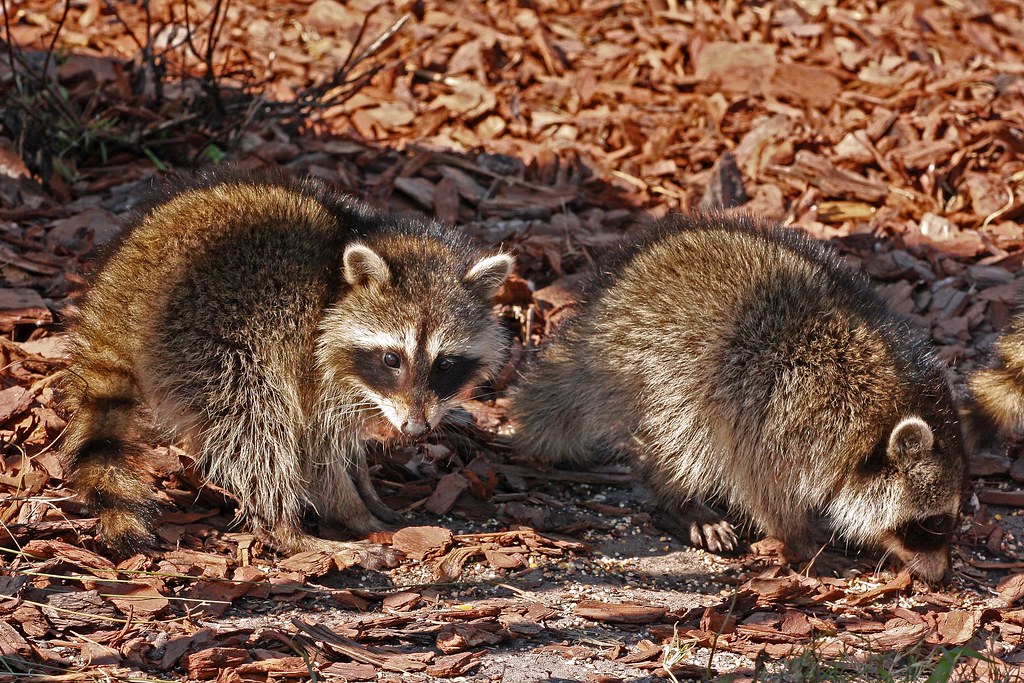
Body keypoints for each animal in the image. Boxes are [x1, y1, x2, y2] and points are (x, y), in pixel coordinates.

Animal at [61, 170, 513, 565]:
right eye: (392, 358)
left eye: (445, 364)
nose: (417, 429)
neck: (339, 281)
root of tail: (122, 285)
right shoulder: (309, 358)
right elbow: (314, 448)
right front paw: (351, 509)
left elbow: (345, 444)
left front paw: (365, 486)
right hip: (207, 340)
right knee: (258, 423)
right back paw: (288, 531)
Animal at [512, 213, 965, 582]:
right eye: (933, 524)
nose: (942, 577)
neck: (878, 411)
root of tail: (598, 314)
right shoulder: (789, 417)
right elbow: (761, 487)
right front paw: (801, 540)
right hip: (657, 368)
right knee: (686, 438)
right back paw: (679, 496)